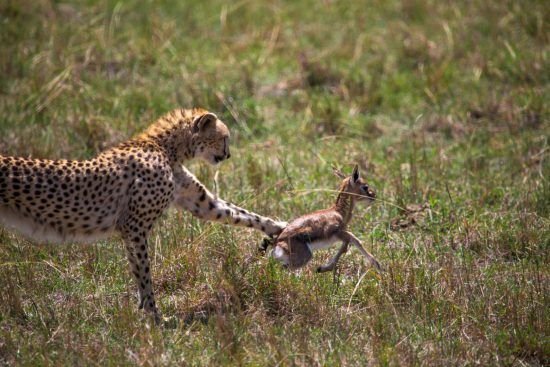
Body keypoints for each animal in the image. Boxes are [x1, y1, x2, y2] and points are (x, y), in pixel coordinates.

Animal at [2, 108, 288, 324]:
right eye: (224, 137)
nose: (228, 155)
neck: (165, 147)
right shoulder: (134, 227)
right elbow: (144, 272)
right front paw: (154, 315)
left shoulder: (199, 203)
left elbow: (236, 212)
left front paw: (279, 227)